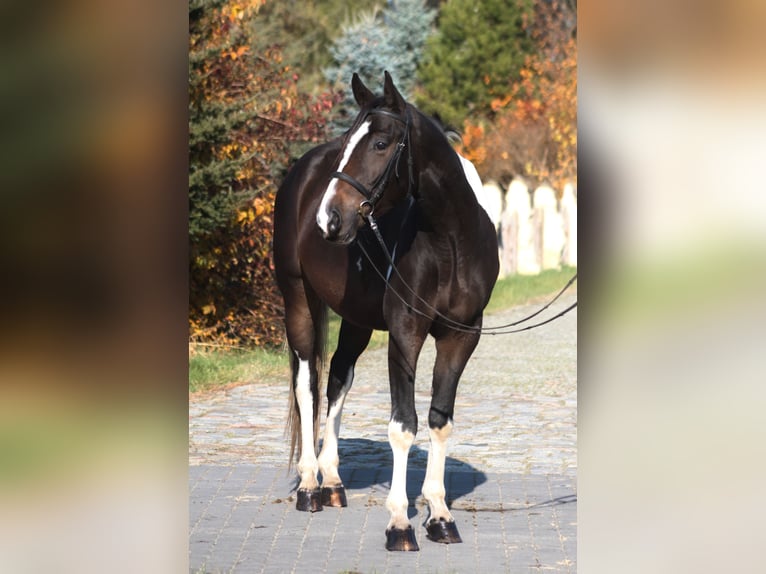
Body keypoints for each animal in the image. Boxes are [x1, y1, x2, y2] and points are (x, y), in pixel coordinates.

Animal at [272, 72, 500, 552]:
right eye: (346, 143)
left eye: (380, 143)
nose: (328, 219)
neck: (450, 241)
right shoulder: (405, 332)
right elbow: (403, 425)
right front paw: (399, 523)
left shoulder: (462, 335)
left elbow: (438, 420)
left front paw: (440, 515)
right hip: (298, 298)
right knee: (307, 385)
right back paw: (309, 486)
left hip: (355, 319)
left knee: (337, 380)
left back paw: (332, 482)